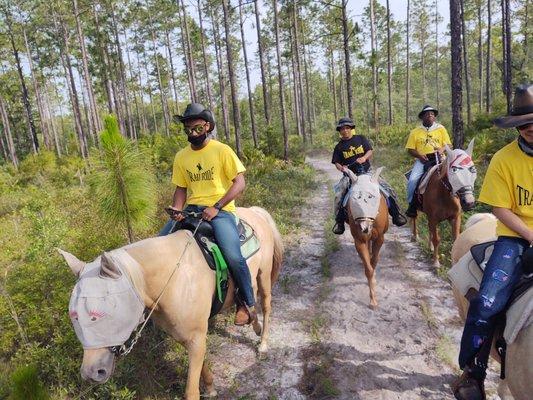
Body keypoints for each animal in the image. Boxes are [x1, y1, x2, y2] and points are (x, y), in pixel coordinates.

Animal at [58, 206, 282, 400]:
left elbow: (191, 390)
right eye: (74, 316)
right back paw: (250, 320)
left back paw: (263, 344)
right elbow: (202, 365)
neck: (175, 277)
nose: (91, 373)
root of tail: (254, 211)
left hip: (264, 274)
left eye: (102, 313)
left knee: (266, 305)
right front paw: (210, 387)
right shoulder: (189, 336)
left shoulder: (196, 336)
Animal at [342, 167, 388, 308]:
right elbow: (368, 269)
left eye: (371, 197)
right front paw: (372, 299)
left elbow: (374, 261)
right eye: (354, 199)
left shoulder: (379, 238)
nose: (364, 228)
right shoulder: (359, 240)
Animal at [410, 139, 476, 268]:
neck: (444, 195)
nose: (469, 202)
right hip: (417, 209)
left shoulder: (455, 218)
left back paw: (429, 247)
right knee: (415, 219)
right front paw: (436, 263)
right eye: (453, 170)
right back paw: (415, 237)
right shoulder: (433, 218)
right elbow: (437, 239)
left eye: (472, 169)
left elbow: (455, 239)